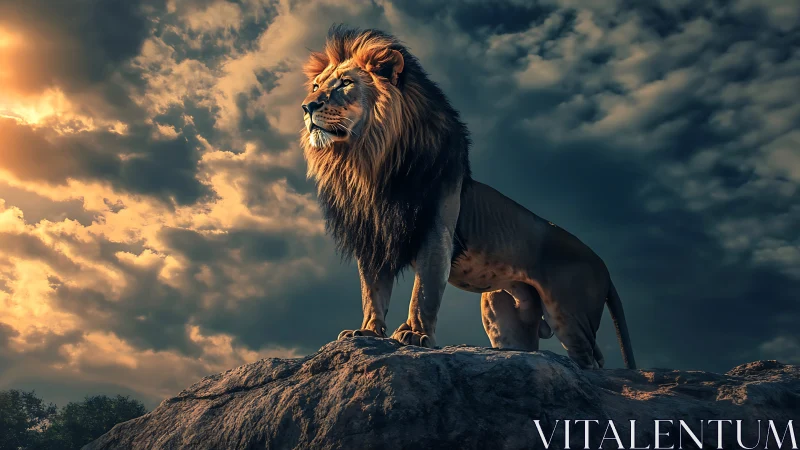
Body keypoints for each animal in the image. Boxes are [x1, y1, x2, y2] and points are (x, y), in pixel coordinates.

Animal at [299, 25, 636, 369]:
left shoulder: (437, 230)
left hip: (570, 313)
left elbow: (424, 291)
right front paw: (367, 332)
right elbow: (373, 293)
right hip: (503, 316)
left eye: (345, 83)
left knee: (592, 362)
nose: (307, 107)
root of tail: (604, 266)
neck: (366, 162)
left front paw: (415, 335)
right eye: (315, 86)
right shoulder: (373, 239)